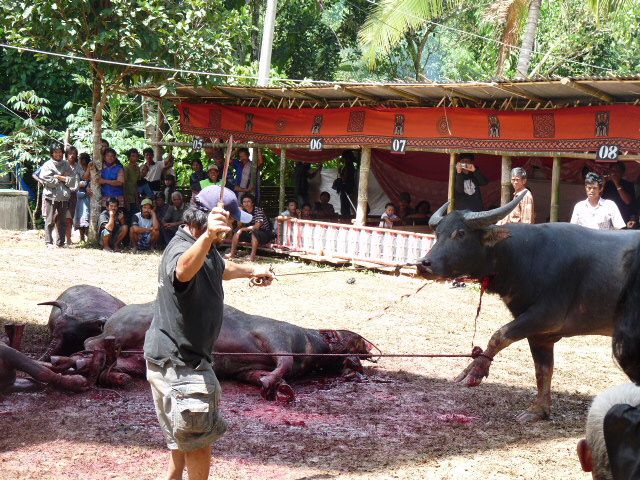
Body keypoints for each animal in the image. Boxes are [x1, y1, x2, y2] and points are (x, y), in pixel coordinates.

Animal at [418, 194, 640, 420]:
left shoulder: (547, 316)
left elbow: (499, 335)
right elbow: (542, 368)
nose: (423, 264)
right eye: (438, 233)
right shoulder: (540, 334)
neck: (524, 257)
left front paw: (475, 370)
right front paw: (538, 410)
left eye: (460, 233)